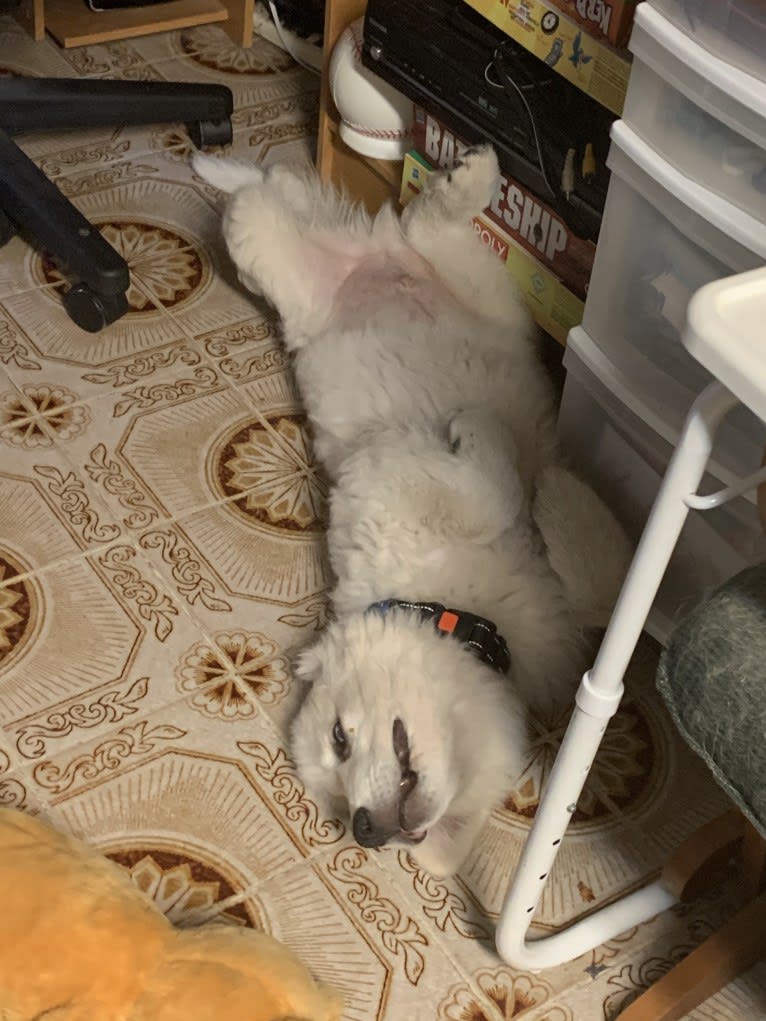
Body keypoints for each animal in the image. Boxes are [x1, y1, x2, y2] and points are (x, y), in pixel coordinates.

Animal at [195, 146, 633, 878]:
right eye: (337, 796)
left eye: (341, 738)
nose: (369, 830)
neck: (456, 607)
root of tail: (359, 254)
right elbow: (594, 572)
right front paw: (553, 488)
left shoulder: (396, 469)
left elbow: (553, 533)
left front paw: (532, 472)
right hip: (323, 277)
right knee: (354, 215)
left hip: (476, 288)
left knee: (384, 216)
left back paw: (464, 175)